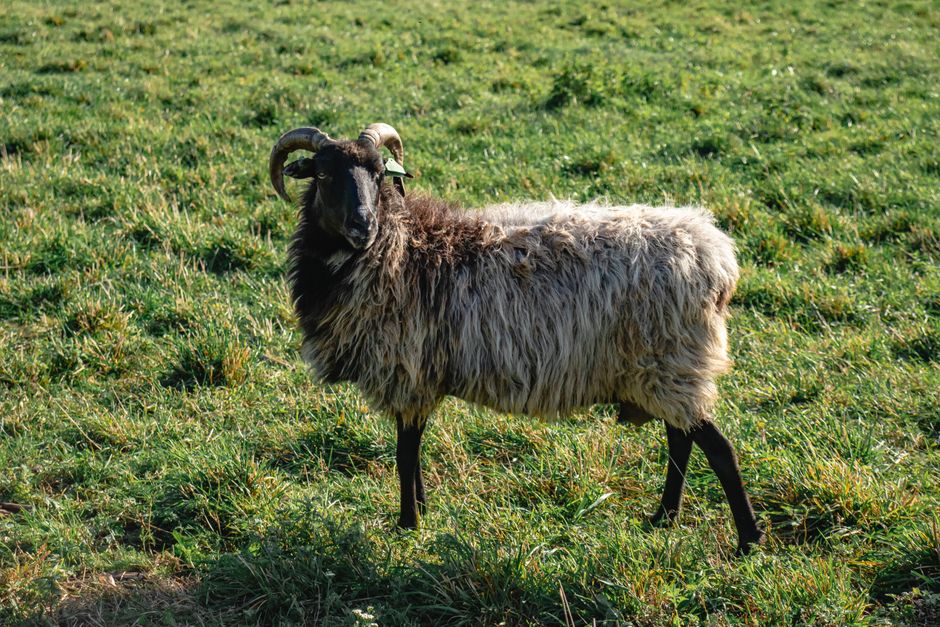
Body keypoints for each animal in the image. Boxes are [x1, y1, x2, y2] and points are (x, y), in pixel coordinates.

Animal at [269, 123, 765, 555]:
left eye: (377, 173)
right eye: (324, 174)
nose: (362, 226)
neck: (400, 248)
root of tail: (717, 257)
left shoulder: (407, 368)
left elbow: (405, 452)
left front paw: (407, 523)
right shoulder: (418, 373)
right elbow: (413, 446)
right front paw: (422, 510)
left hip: (670, 365)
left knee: (717, 449)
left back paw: (747, 540)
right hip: (664, 370)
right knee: (681, 439)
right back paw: (664, 517)